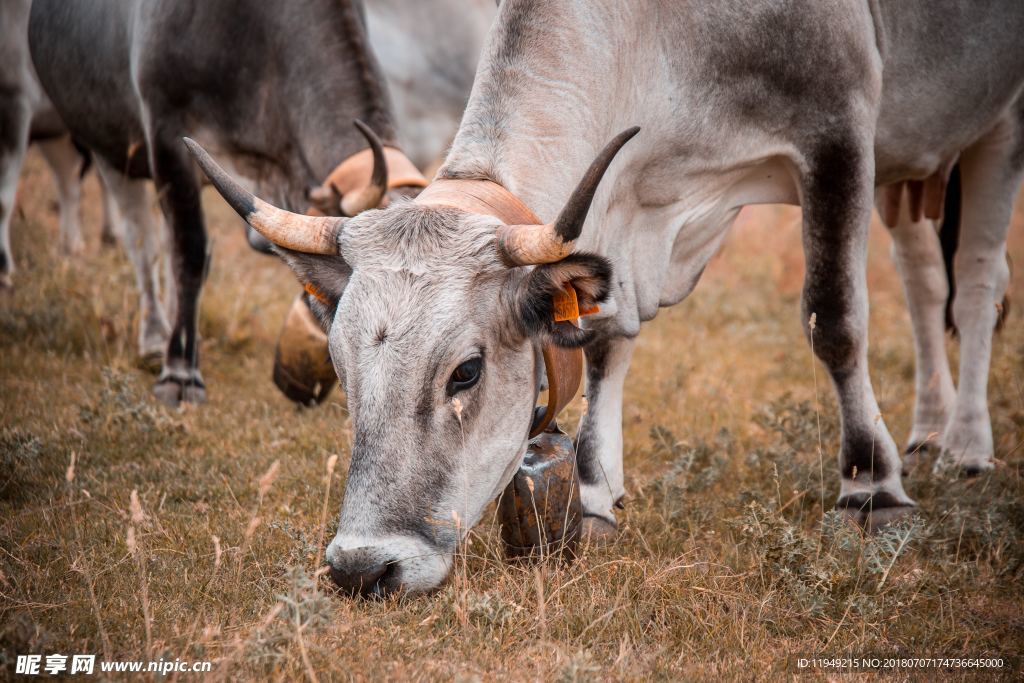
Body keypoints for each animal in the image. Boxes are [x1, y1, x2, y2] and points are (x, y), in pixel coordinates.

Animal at [188, 0, 1019, 593]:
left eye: (466, 371)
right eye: (342, 365)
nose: (363, 567)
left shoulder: (838, 130)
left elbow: (835, 317)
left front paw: (872, 488)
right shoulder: (617, 216)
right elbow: (603, 340)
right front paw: (593, 487)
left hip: (998, 124)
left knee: (976, 283)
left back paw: (968, 444)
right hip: (911, 167)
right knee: (924, 280)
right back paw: (929, 428)